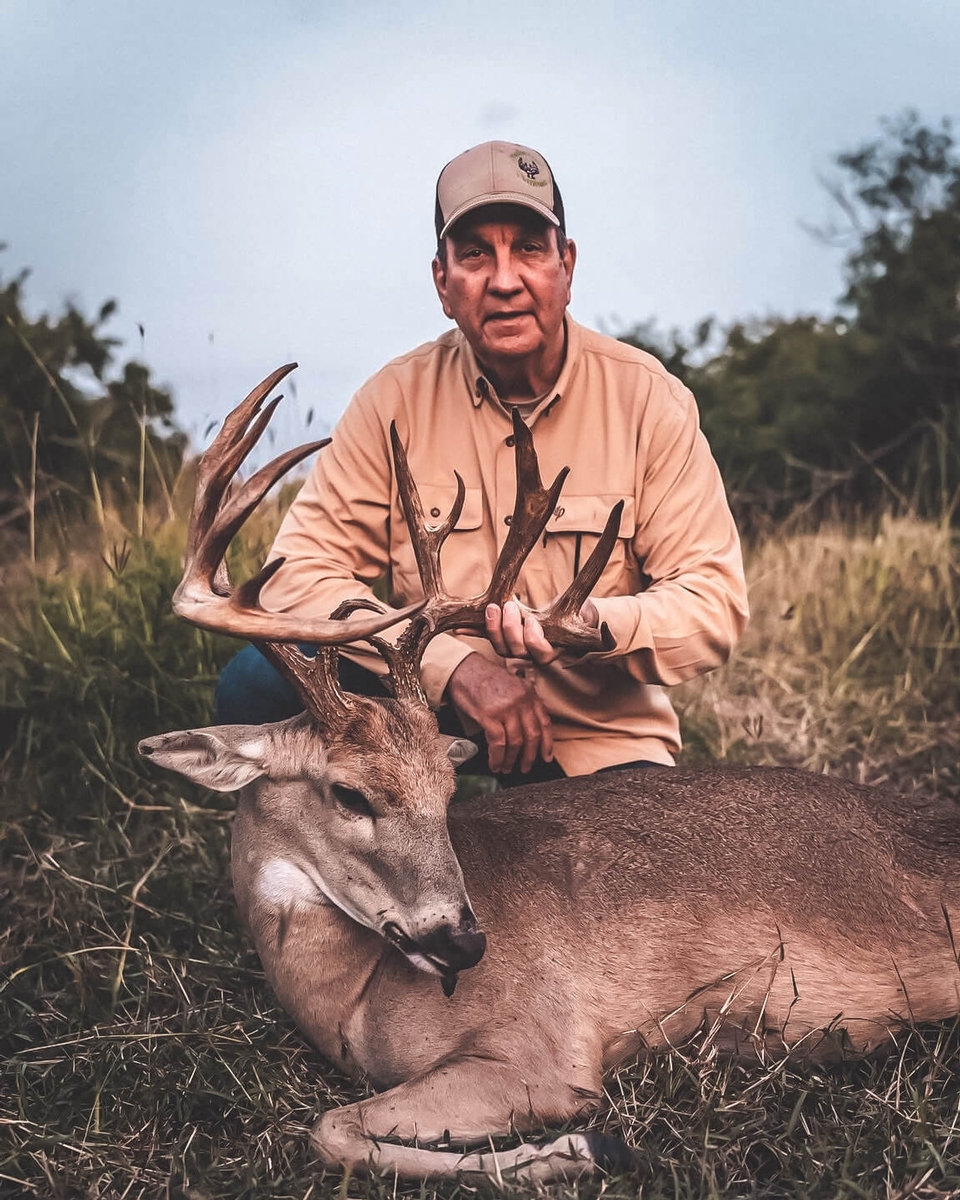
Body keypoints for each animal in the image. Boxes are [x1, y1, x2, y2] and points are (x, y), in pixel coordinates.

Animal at [139, 364, 960, 1184]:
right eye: (348, 792)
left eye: (445, 792)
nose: (466, 944)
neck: (353, 996)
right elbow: (333, 1128)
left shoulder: (542, 1052)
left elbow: (330, 1129)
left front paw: (590, 1146)